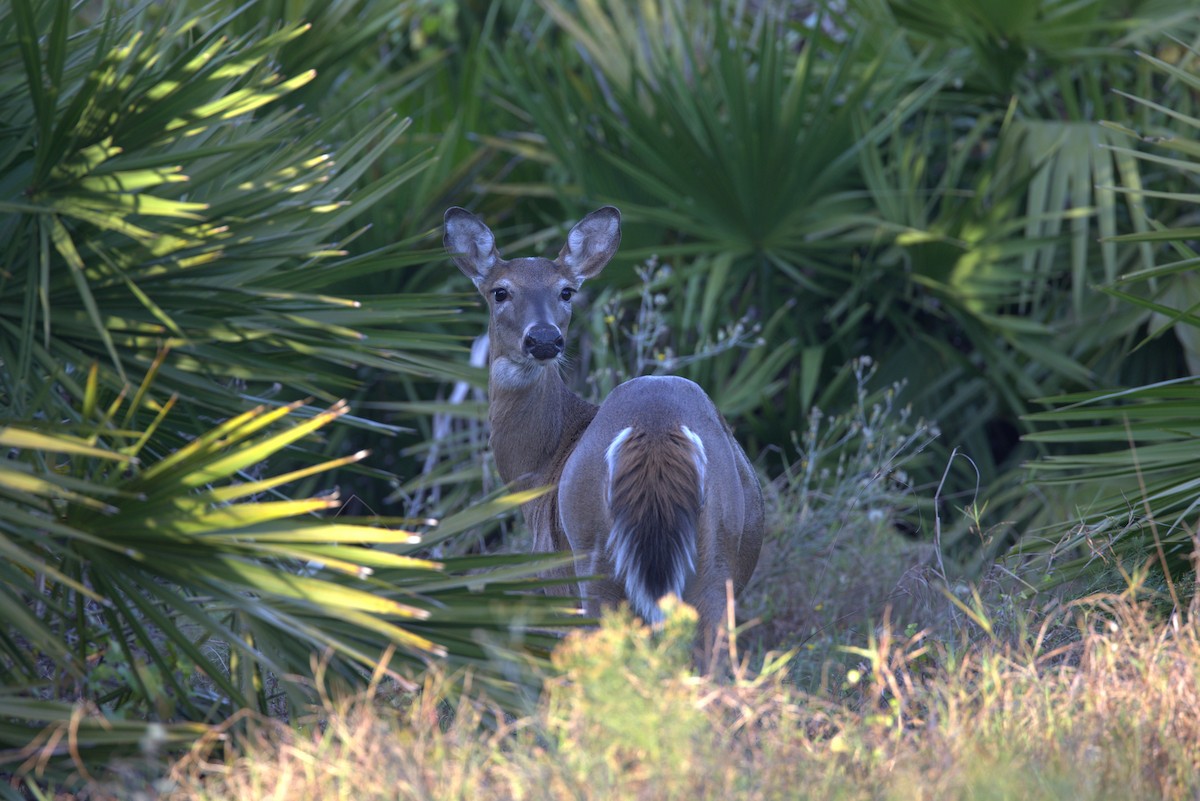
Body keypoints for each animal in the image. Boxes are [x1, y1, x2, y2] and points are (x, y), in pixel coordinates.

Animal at [444, 205, 763, 653]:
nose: (544, 339)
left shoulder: (554, 582)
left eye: (566, 292)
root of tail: (656, 427)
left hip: (595, 562)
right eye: (500, 292)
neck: (544, 465)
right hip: (718, 553)